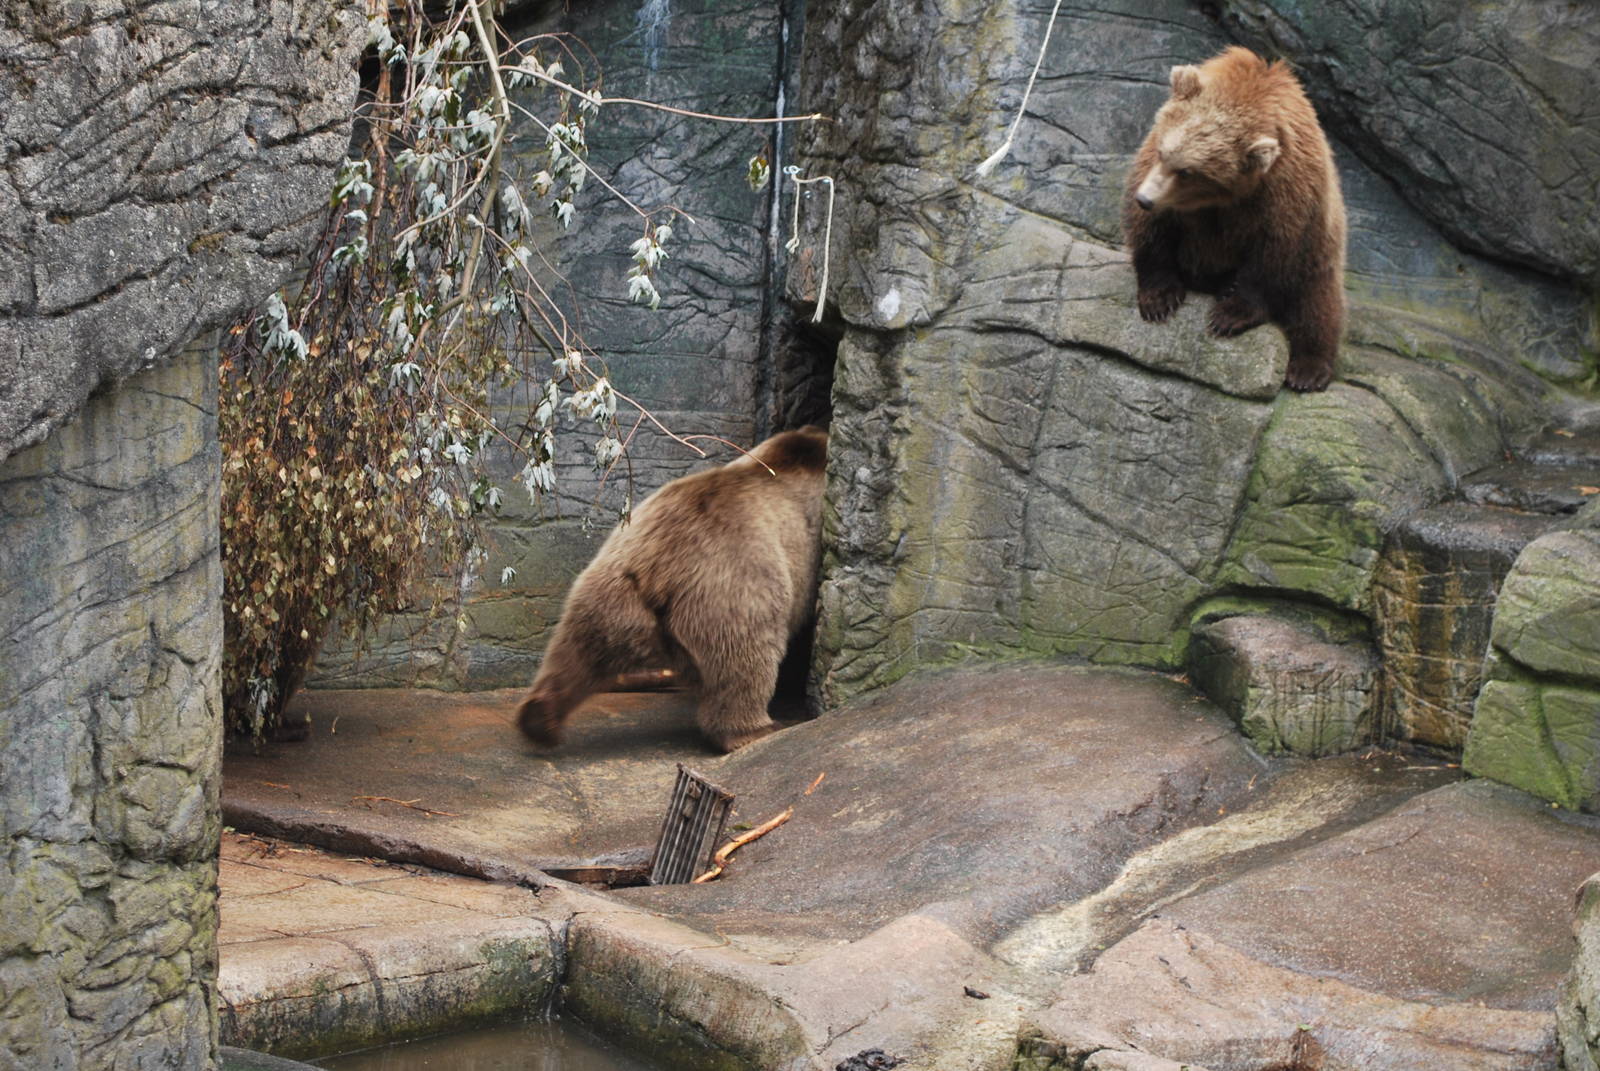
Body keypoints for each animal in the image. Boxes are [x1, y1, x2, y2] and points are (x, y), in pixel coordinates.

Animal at [515, 426, 828, 753]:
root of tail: (656, 566)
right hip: (733, 588)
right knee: (746, 656)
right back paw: (753, 730)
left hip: (608, 594)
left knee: (577, 653)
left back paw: (540, 719)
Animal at [1123, 46, 1347, 392]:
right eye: (1163, 153)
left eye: (1187, 172)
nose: (1145, 199)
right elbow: (1154, 233)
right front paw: (1159, 300)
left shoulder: (1286, 195)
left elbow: (1274, 258)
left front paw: (1228, 315)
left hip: (1321, 254)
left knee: (1317, 304)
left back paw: (1307, 369)